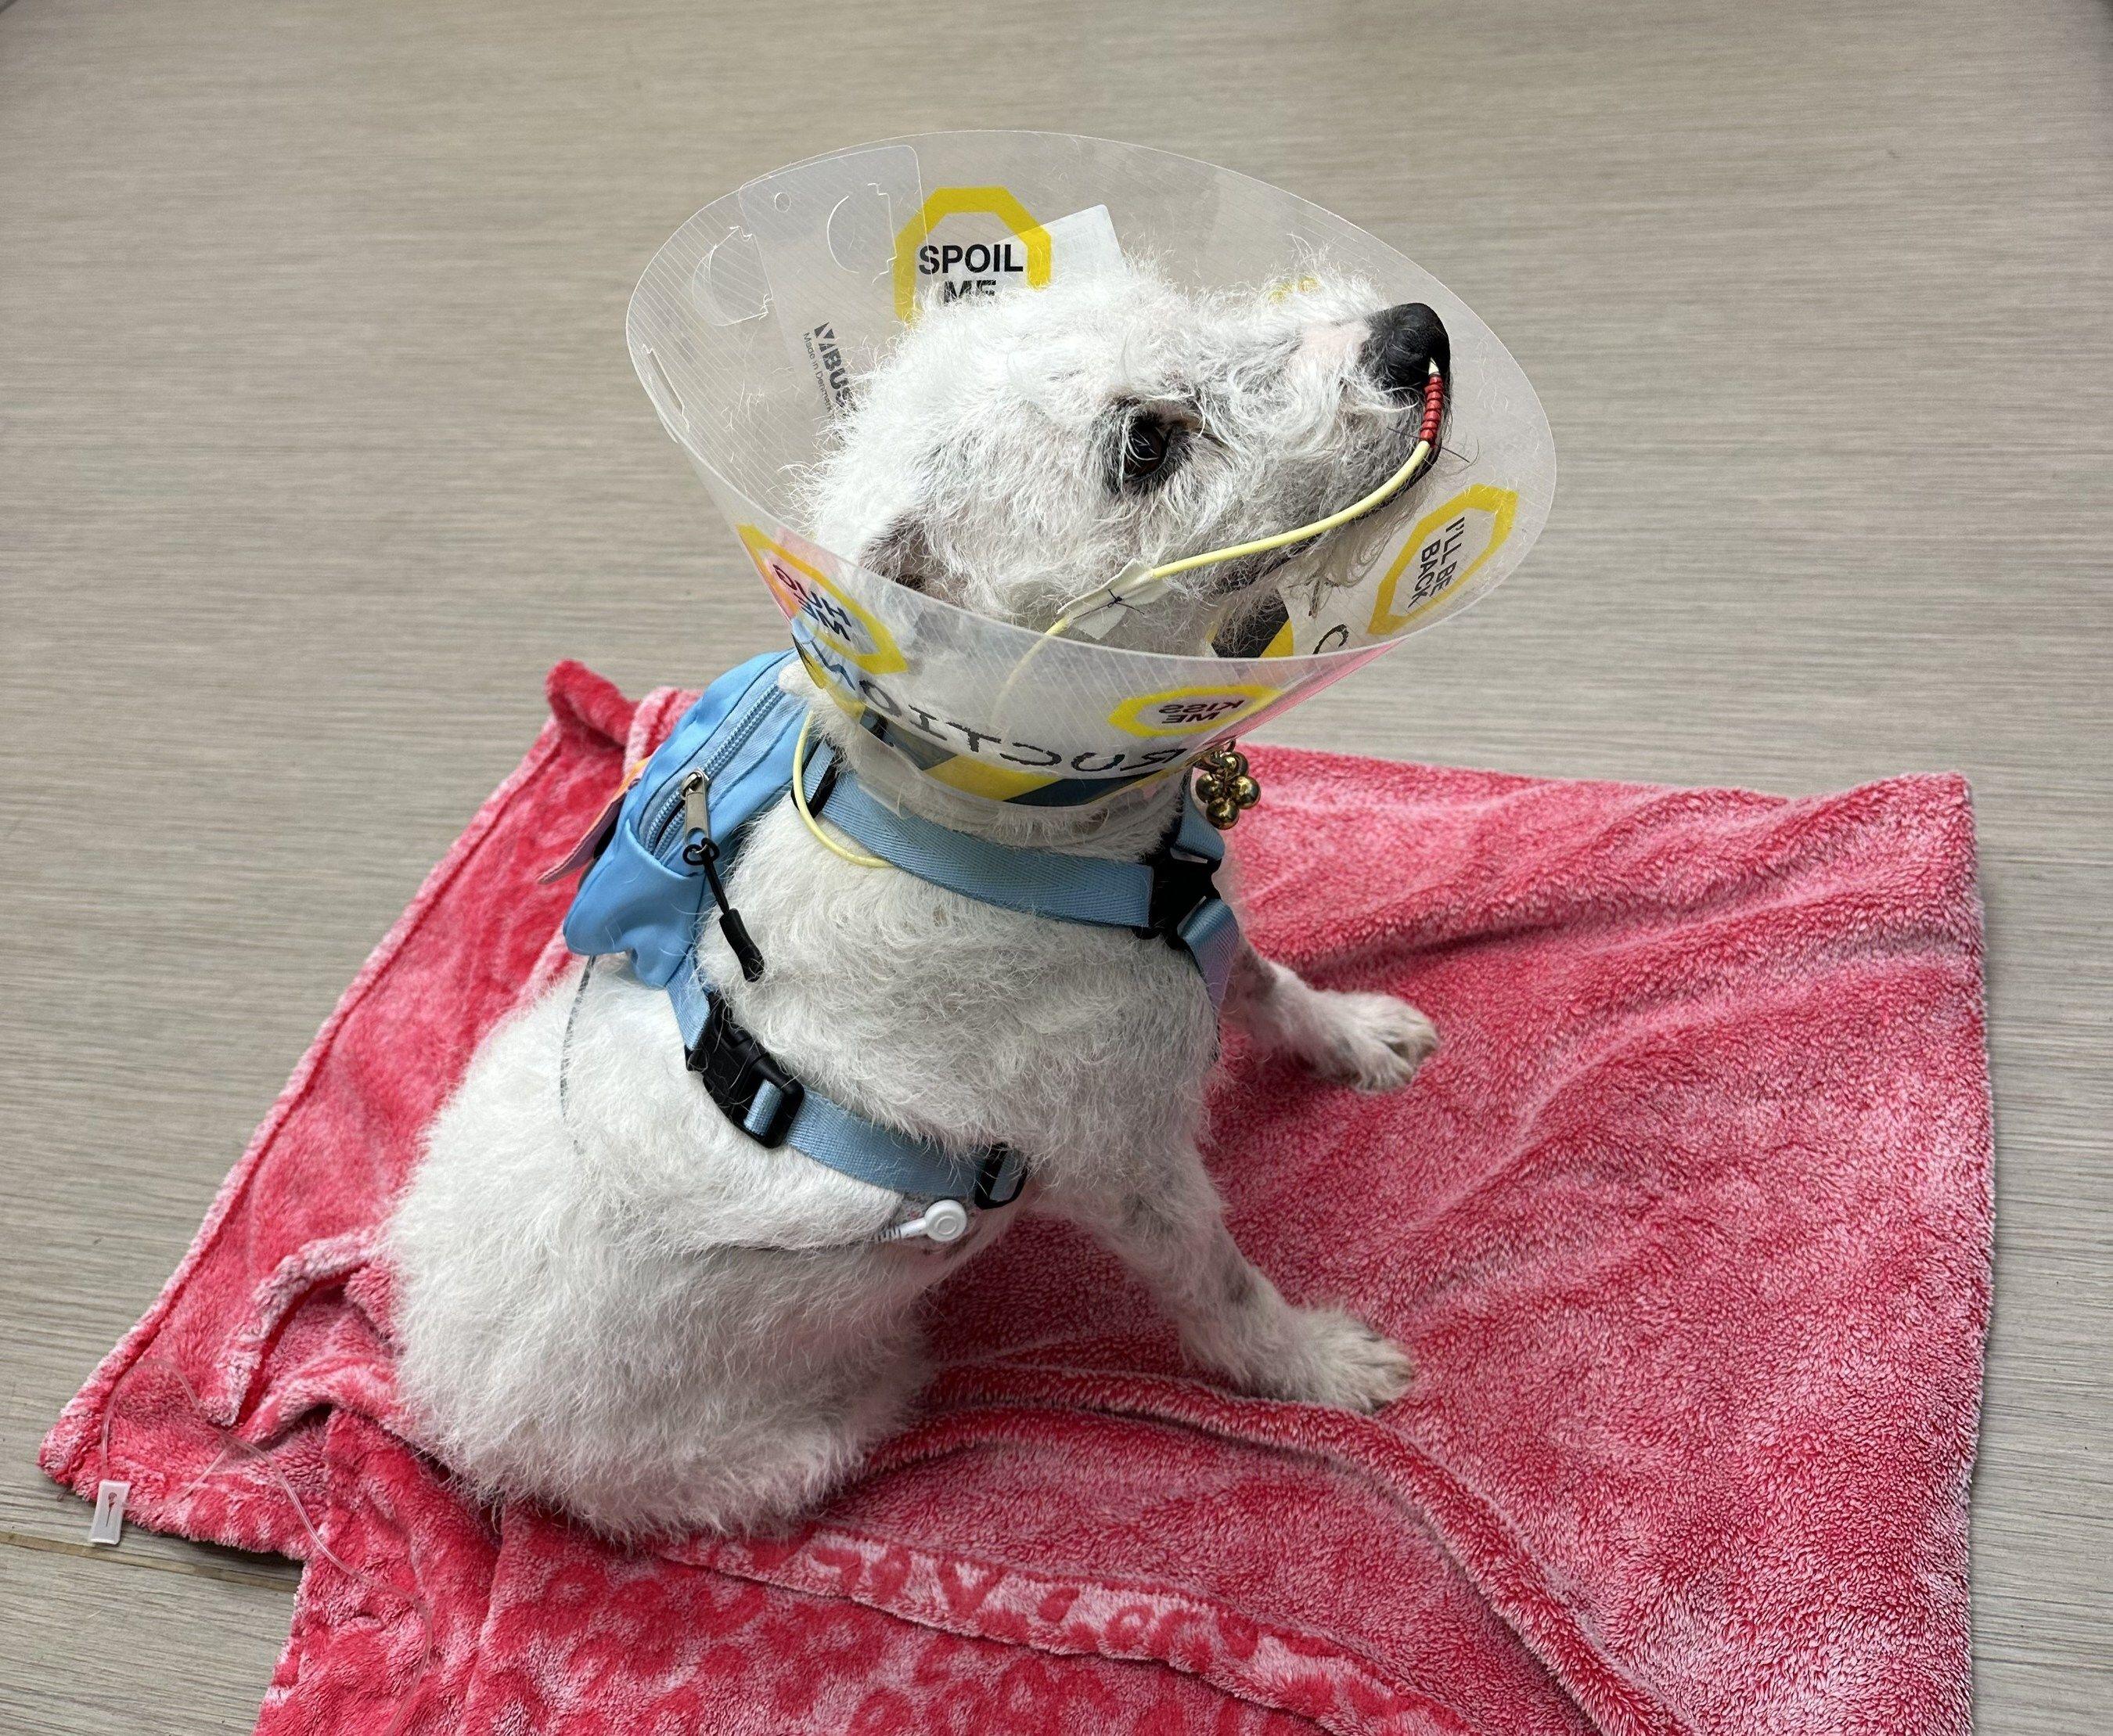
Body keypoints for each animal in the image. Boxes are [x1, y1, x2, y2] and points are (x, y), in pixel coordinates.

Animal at [388, 261, 1453, 1530]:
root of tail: (444, 1409)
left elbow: (1268, 980)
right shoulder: (1132, 1169)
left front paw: (1353, 1035)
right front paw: (1319, 1366)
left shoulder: (1198, 925)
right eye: (1144, 445)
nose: (1418, 332)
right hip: (786, 1437)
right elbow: (1221, 1290)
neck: (1019, 842)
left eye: (1178, 302)